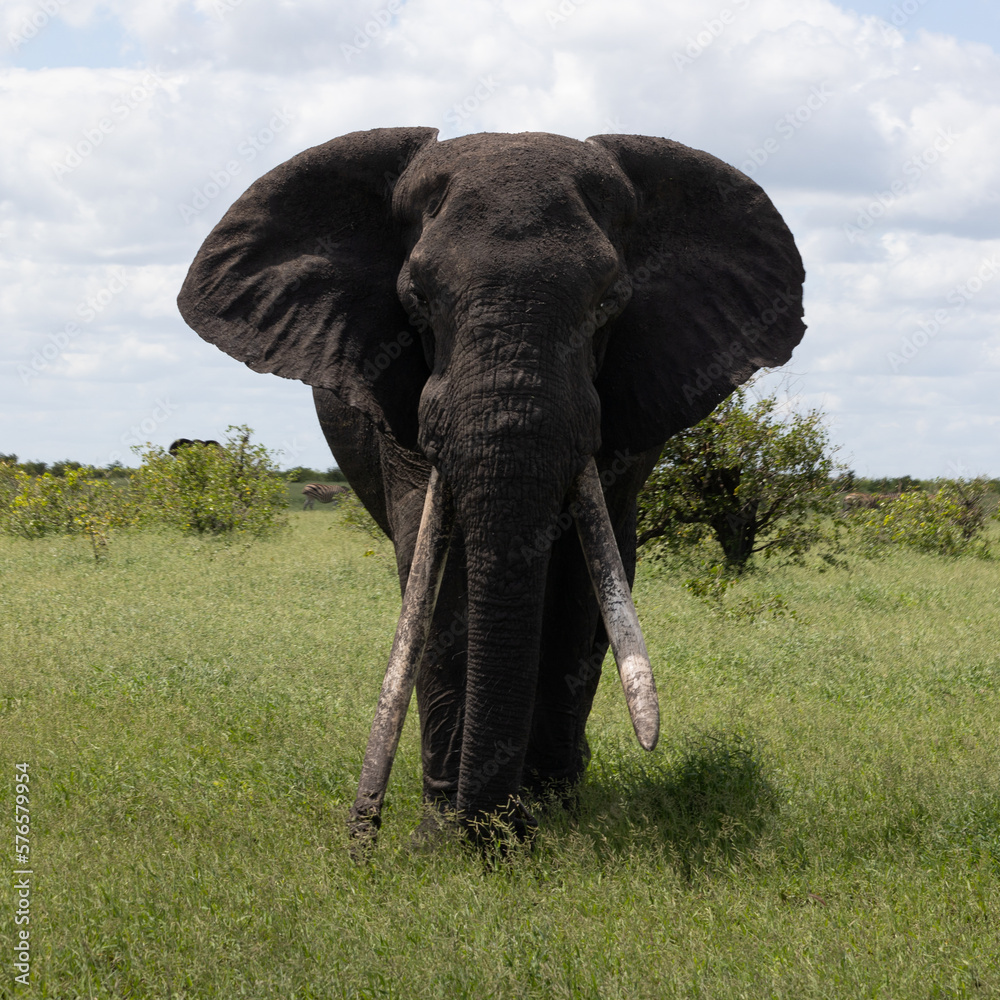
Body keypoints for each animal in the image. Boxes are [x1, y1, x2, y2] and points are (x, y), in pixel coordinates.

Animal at [177, 127, 805, 847]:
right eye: (417, 301)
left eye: (608, 304)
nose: (364, 830)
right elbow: (439, 581)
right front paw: (447, 836)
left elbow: (577, 584)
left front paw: (543, 822)